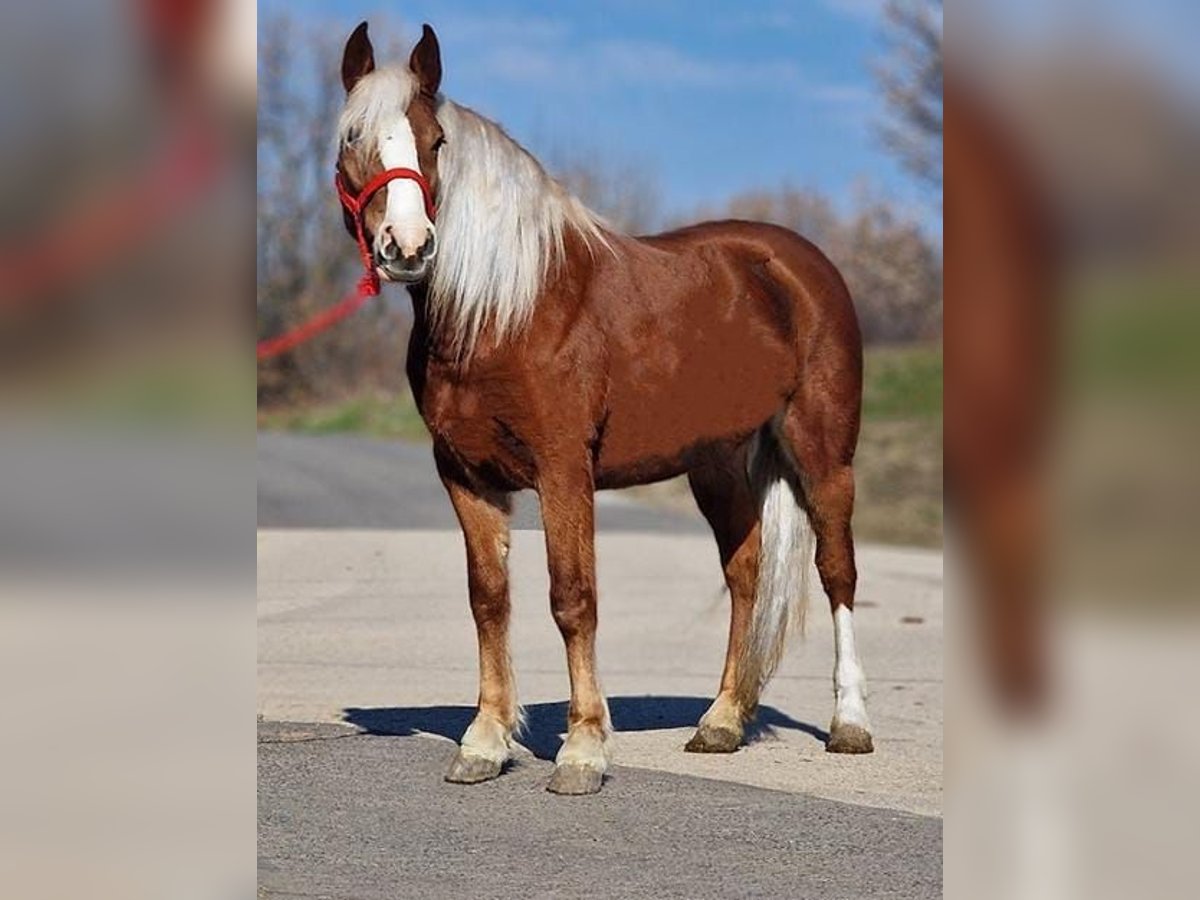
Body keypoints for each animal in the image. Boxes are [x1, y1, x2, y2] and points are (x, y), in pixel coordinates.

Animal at [336, 21, 873, 796]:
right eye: (352, 137)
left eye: (435, 140)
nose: (408, 247)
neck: (504, 309)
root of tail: (799, 263)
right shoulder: (465, 475)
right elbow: (489, 599)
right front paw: (485, 742)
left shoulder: (564, 470)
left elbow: (572, 597)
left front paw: (583, 750)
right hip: (716, 465)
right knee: (746, 572)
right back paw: (721, 722)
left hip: (823, 452)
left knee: (838, 572)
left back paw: (850, 724)